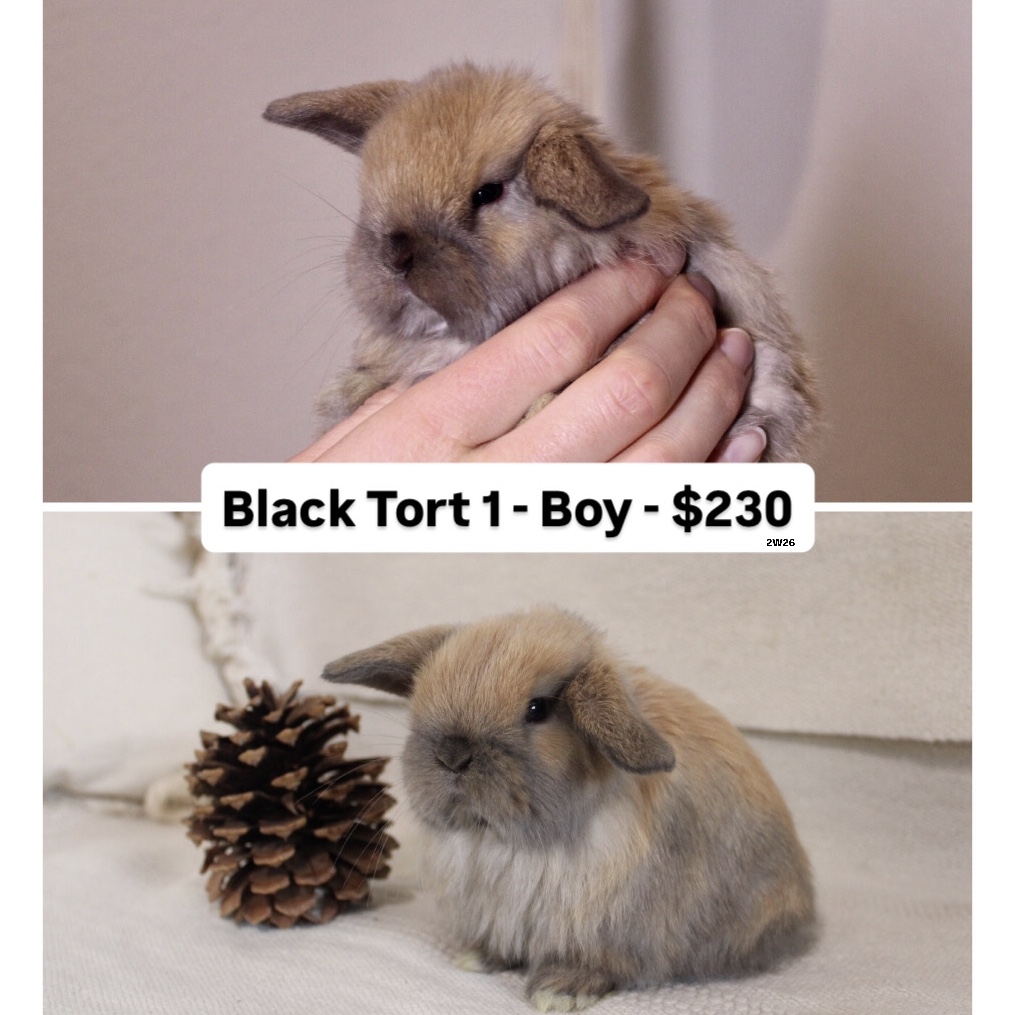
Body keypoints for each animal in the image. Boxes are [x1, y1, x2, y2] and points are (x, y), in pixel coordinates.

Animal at [322, 607, 815, 1011]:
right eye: (422, 694)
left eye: (538, 709)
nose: (452, 755)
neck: (505, 839)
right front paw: (478, 957)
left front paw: (559, 990)